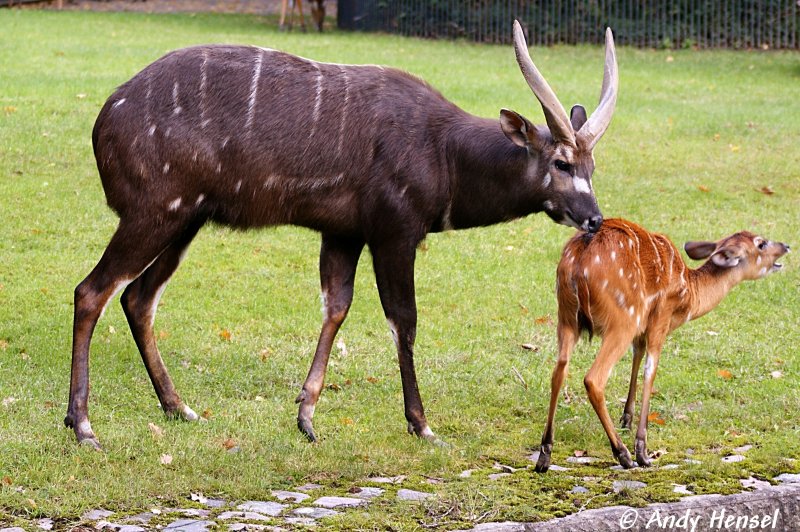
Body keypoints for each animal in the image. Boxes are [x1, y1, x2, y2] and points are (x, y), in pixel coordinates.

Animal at [69, 22, 620, 450]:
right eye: (561, 162)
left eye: (593, 165)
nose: (594, 219)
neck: (443, 151)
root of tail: (103, 120)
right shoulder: (394, 232)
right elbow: (403, 321)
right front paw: (422, 425)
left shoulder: (342, 233)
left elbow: (336, 307)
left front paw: (306, 417)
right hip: (154, 213)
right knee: (92, 290)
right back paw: (84, 427)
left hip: (186, 220)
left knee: (138, 298)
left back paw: (179, 408)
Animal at [536, 218, 792, 472]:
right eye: (761, 243)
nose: (786, 245)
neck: (689, 294)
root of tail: (578, 264)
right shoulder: (661, 317)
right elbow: (650, 371)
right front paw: (643, 451)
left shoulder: (641, 329)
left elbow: (637, 357)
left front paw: (626, 420)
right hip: (622, 318)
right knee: (593, 378)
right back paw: (623, 454)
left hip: (566, 316)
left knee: (559, 370)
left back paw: (545, 454)